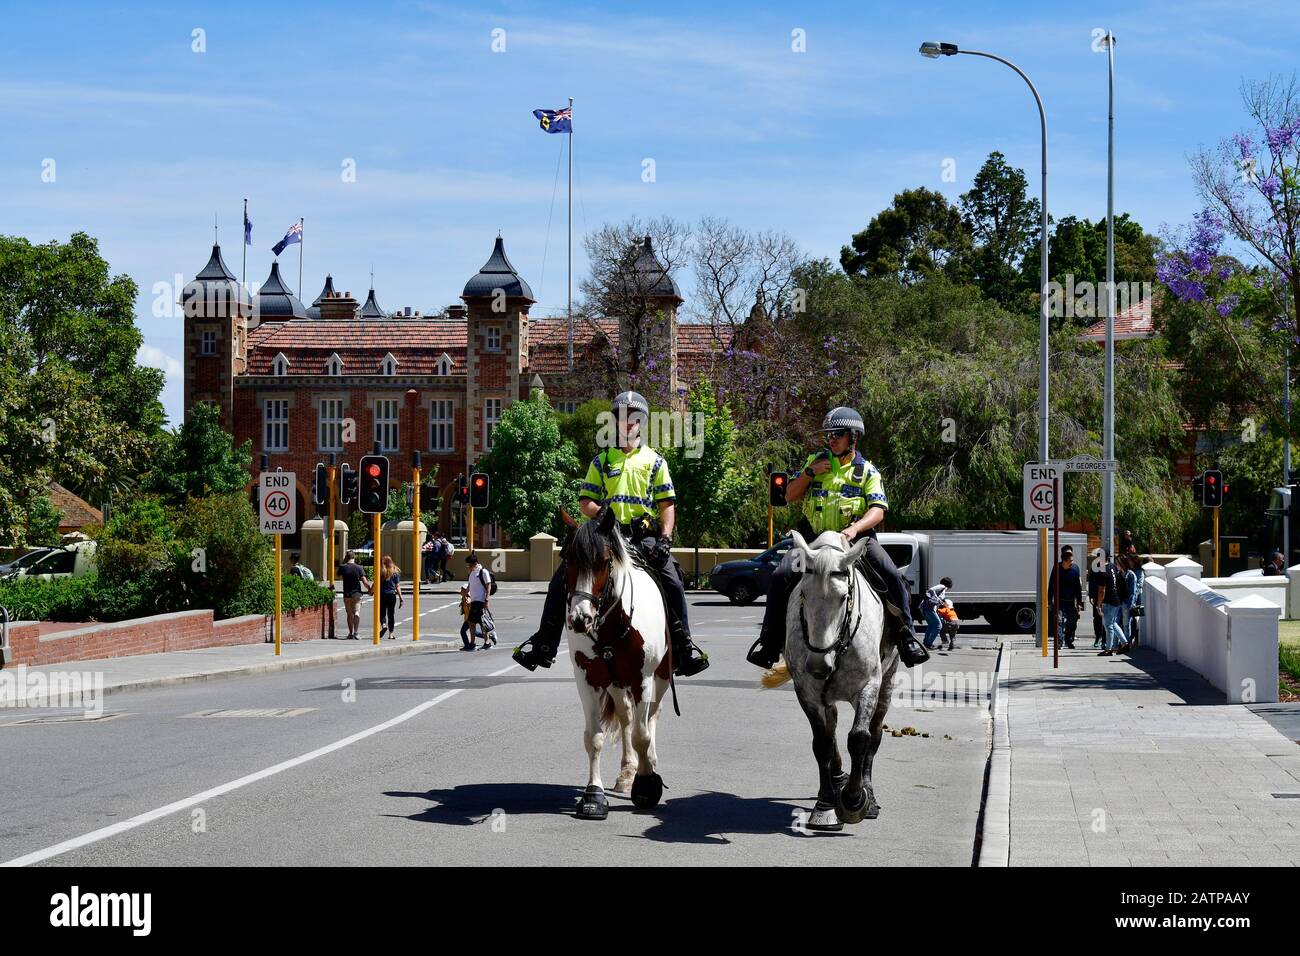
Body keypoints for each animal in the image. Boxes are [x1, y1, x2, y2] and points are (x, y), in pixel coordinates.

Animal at [566, 509, 676, 822]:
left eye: (604, 562)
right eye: (567, 560)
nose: (580, 619)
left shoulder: (643, 679)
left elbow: (642, 735)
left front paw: (647, 784)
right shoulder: (588, 678)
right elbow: (594, 737)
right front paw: (594, 795)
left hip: (660, 679)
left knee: (650, 717)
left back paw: (648, 762)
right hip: (616, 683)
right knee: (627, 717)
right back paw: (628, 771)